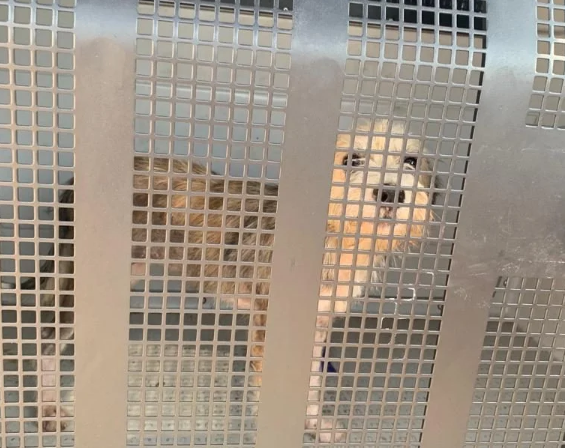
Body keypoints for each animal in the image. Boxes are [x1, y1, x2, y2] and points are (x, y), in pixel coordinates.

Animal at [29, 120, 435, 439]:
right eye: (351, 160)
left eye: (411, 161)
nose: (391, 193)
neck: (339, 237)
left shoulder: (317, 326)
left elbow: (312, 383)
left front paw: (314, 426)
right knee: (47, 338)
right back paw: (48, 411)